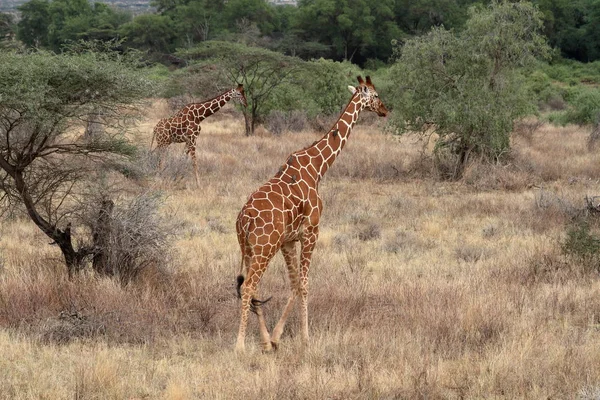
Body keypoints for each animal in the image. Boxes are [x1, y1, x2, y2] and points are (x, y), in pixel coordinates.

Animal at [232, 76, 386, 352]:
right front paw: (306, 338)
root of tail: (245, 220)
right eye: (376, 95)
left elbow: (294, 284)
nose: (385, 110)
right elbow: (304, 284)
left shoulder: (288, 240)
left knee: (252, 286)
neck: (318, 167)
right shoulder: (312, 231)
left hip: (248, 248)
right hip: (264, 248)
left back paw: (264, 341)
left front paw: (275, 338)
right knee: (249, 286)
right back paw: (239, 346)